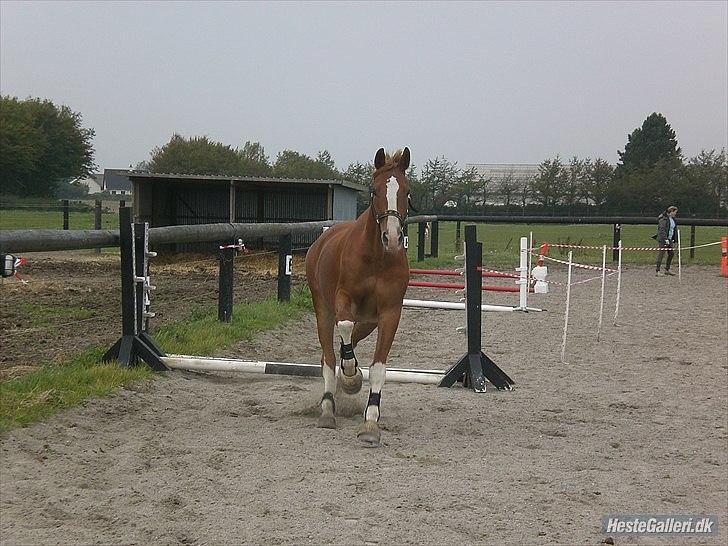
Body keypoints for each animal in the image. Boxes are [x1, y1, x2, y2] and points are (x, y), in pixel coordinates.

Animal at [304, 147, 412, 444]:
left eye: (407, 191)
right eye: (374, 190)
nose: (392, 238)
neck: (376, 258)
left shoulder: (389, 313)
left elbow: (378, 368)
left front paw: (371, 423)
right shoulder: (344, 300)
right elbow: (344, 327)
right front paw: (351, 377)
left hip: (369, 321)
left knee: (341, 348)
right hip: (323, 310)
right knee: (329, 358)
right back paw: (328, 408)